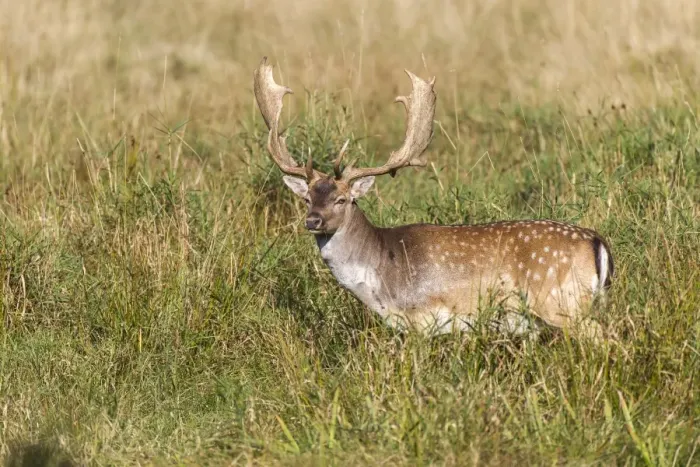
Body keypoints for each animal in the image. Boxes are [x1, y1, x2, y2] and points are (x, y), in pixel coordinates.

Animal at [253, 57, 614, 341]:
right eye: (308, 198)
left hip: (560, 302)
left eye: (342, 200)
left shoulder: (422, 319)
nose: (312, 220)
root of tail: (597, 242)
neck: (381, 280)